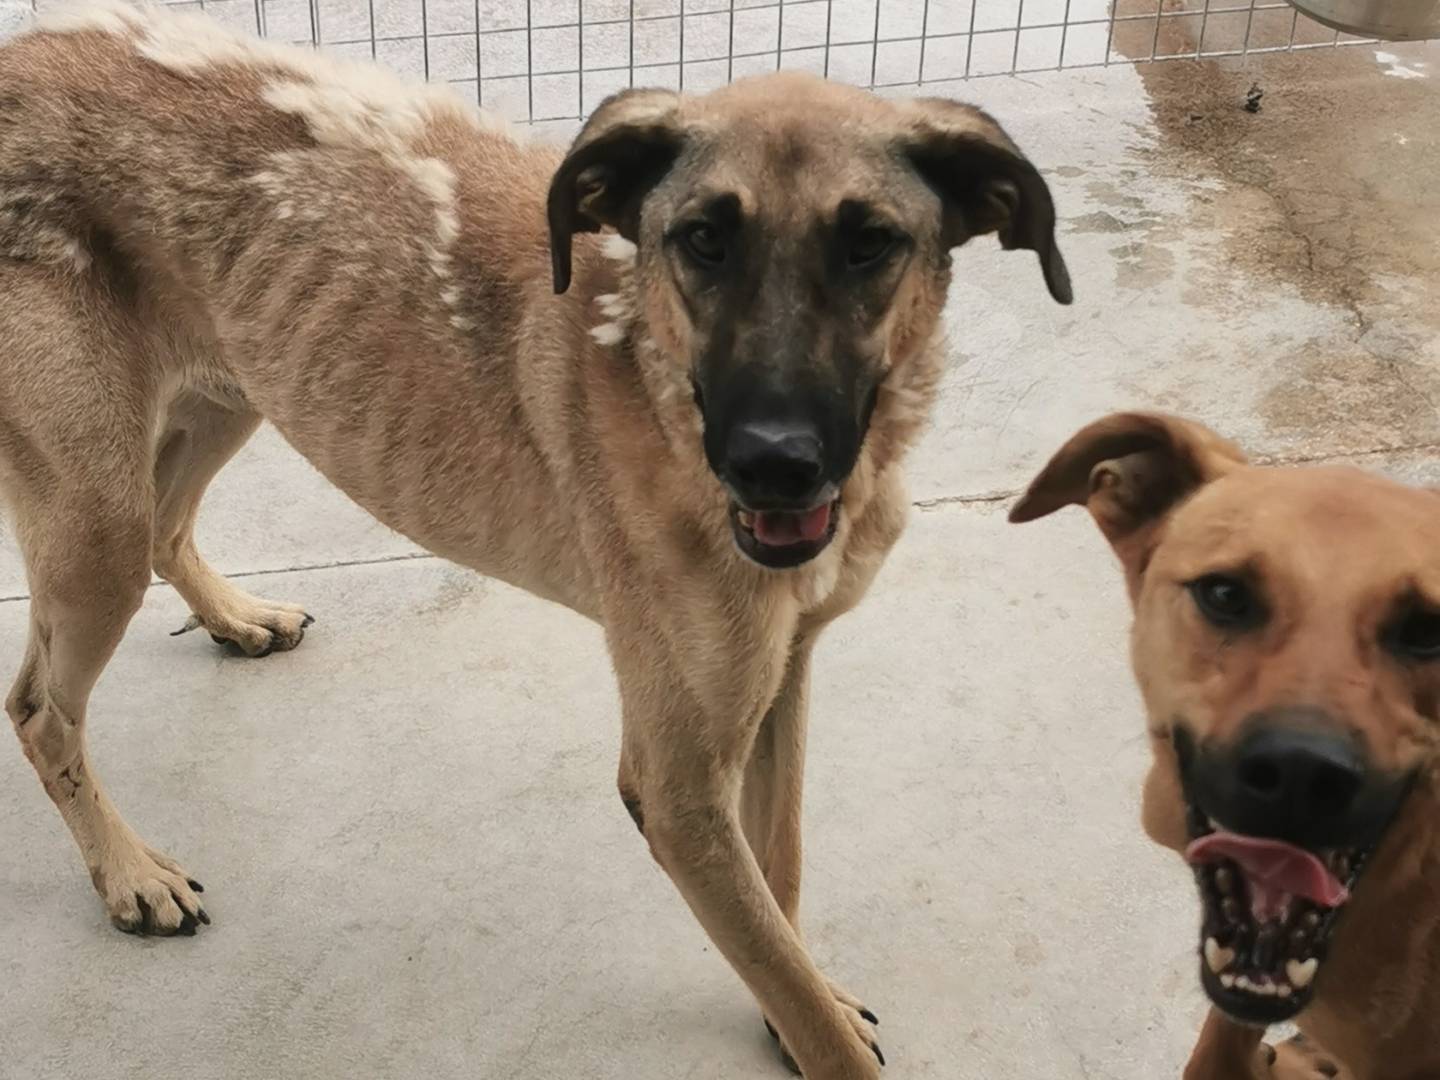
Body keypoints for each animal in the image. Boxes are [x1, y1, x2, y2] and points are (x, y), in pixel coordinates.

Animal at [0, 4, 1071, 1077]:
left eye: (871, 245)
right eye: (701, 241)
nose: (775, 465)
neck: (653, 369)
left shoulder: (785, 670)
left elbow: (785, 877)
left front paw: (799, 999)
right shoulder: (678, 790)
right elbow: (782, 964)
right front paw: (811, 1022)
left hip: (232, 391)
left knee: (167, 529)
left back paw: (234, 618)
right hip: (98, 518)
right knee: (43, 709)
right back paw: (128, 874)